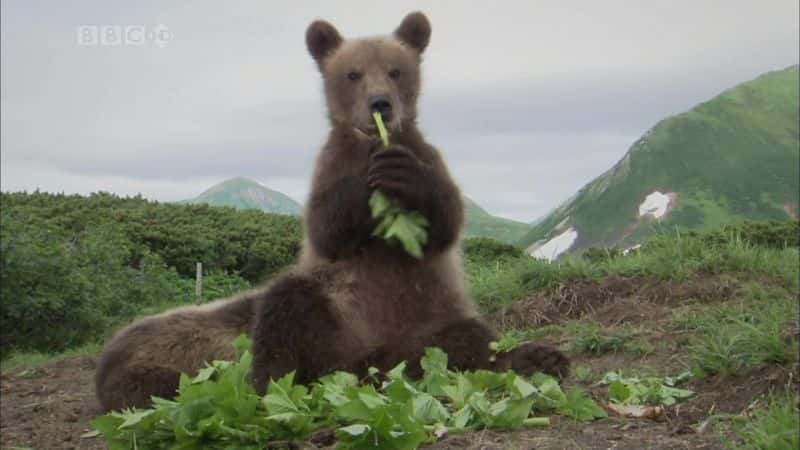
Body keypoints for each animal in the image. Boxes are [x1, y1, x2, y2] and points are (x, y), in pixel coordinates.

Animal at [95, 10, 568, 412]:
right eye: (352, 73)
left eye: (396, 70)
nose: (380, 104)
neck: (371, 144)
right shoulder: (327, 172)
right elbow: (326, 227)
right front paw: (364, 184)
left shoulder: (429, 157)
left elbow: (447, 218)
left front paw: (405, 176)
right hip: (334, 319)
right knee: (290, 307)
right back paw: (279, 385)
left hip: (427, 319)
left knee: (467, 340)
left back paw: (537, 356)